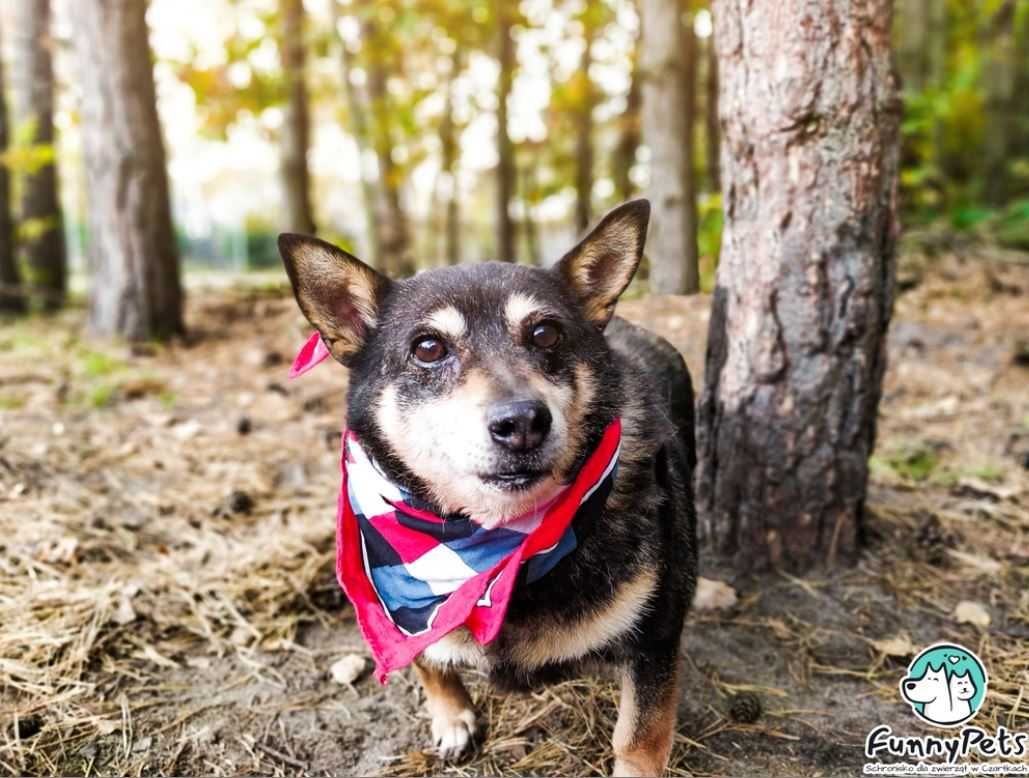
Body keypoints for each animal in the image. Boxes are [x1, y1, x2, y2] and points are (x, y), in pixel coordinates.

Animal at [279, 200, 699, 778]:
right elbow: (427, 659)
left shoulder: (655, 641)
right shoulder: (400, 610)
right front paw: (453, 717)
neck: (487, 538)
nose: (522, 422)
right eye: (428, 347)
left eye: (546, 334)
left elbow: (637, 739)